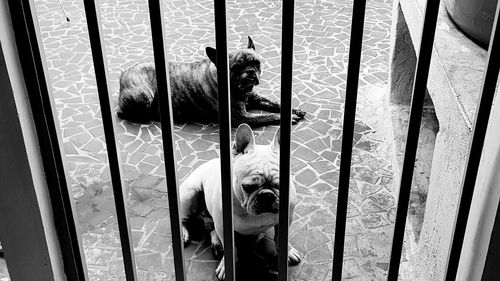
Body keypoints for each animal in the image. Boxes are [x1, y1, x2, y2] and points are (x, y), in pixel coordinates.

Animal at [117, 36, 304, 126]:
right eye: (236, 67)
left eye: (256, 63)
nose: (250, 72)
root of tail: (123, 73)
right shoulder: (241, 118)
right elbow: (267, 115)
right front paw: (287, 117)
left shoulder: (255, 98)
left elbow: (276, 103)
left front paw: (294, 110)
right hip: (144, 96)